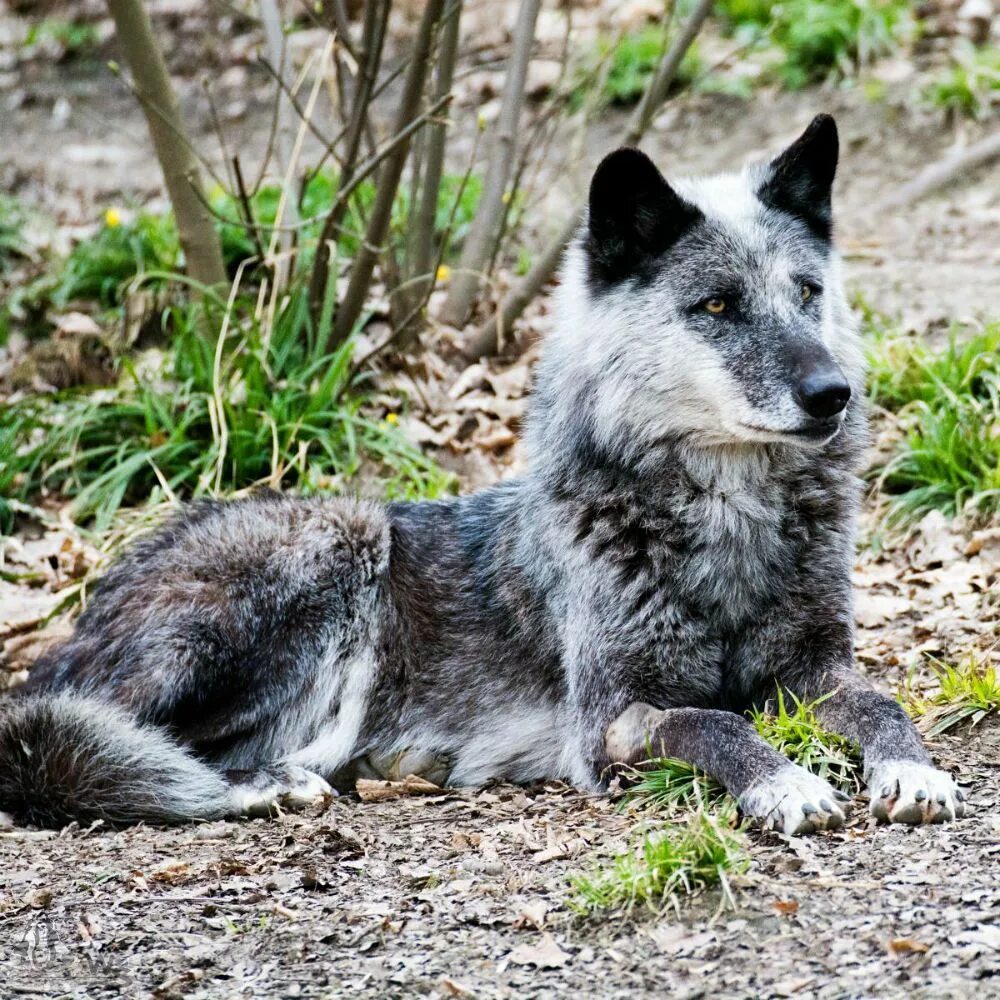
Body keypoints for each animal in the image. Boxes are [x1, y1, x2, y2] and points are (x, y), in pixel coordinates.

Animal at [1, 115, 968, 836]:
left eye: (807, 292)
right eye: (719, 305)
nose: (833, 393)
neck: (724, 519)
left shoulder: (813, 672)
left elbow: (881, 701)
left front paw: (911, 770)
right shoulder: (611, 721)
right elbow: (715, 718)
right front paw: (785, 782)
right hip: (332, 539)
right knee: (90, 748)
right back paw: (264, 785)